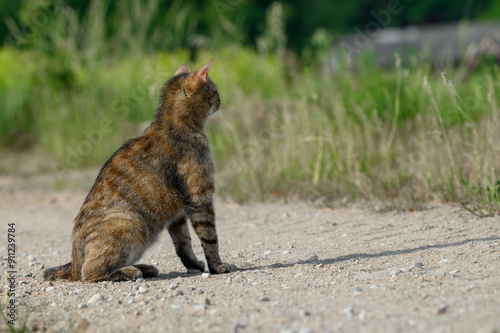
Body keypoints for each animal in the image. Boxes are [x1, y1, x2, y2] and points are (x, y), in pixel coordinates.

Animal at [44, 59, 231, 280]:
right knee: (90, 273)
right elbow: (209, 239)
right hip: (130, 220)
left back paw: (145, 268)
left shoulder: (178, 215)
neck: (172, 124)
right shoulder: (200, 198)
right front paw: (217, 266)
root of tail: (72, 264)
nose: (221, 100)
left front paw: (194, 264)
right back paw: (131, 271)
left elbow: (183, 244)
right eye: (215, 90)